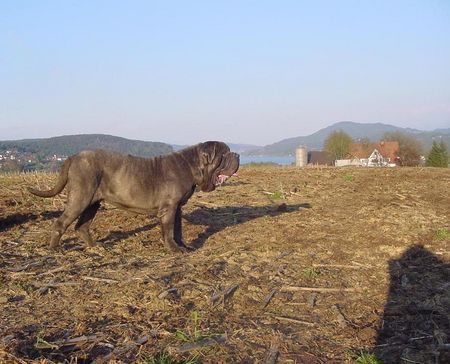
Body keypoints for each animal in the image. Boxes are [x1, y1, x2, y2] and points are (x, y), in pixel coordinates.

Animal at [27, 141, 239, 252]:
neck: (191, 165)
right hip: (81, 197)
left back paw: (96, 246)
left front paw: (183, 247)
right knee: (61, 222)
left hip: (93, 202)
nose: (236, 154)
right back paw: (55, 249)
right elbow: (169, 231)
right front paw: (174, 249)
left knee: (82, 225)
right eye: (224, 154)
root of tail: (74, 156)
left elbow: (178, 230)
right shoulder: (169, 208)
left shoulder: (177, 208)